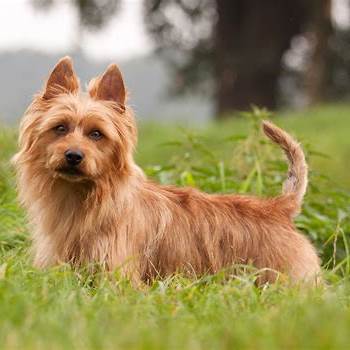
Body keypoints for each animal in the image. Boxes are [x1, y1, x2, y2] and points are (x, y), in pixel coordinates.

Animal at [13, 56, 320, 284]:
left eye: (97, 134)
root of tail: (280, 207)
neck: (84, 199)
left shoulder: (116, 273)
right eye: (60, 127)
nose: (74, 156)